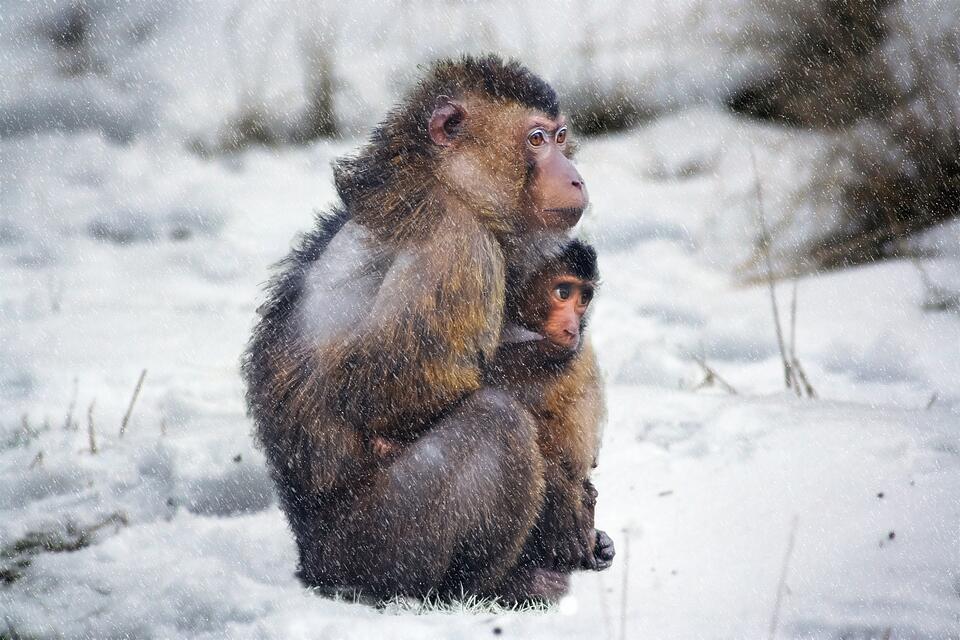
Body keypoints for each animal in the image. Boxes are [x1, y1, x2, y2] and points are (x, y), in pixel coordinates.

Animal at [244, 53, 592, 600]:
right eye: (536, 139)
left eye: (560, 138)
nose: (575, 177)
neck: (446, 182)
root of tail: (312, 561)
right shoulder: (458, 246)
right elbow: (395, 395)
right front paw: (563, 491)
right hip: (376, 543)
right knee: (497, 420)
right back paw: (489, 586)